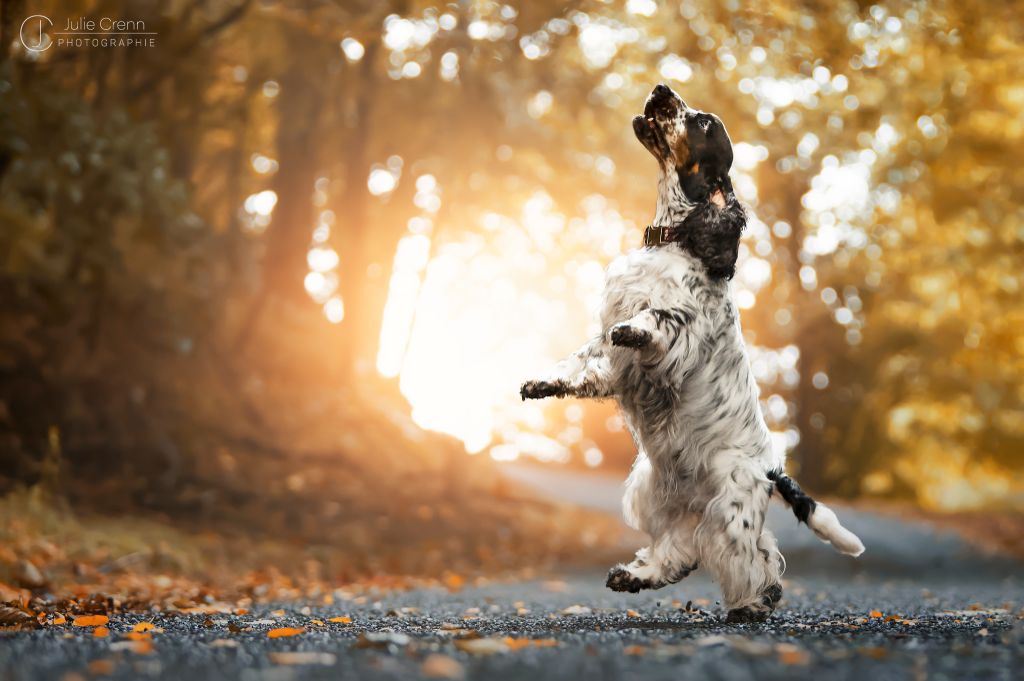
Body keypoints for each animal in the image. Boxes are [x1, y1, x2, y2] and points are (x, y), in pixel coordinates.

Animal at [520, 83, 864, 622]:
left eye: (701, 122)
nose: (662, 89)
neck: (673, 240)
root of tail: (773, 467)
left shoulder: (681, 330)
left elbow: (655, 319)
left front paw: (636, 329)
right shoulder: (610, 351)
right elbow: (581, 360)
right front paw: (542, 381)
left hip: (731, 501)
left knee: (753, 555)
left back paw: (755, 602)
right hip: (656, 490)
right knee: (680, 550)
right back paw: (634, 576)